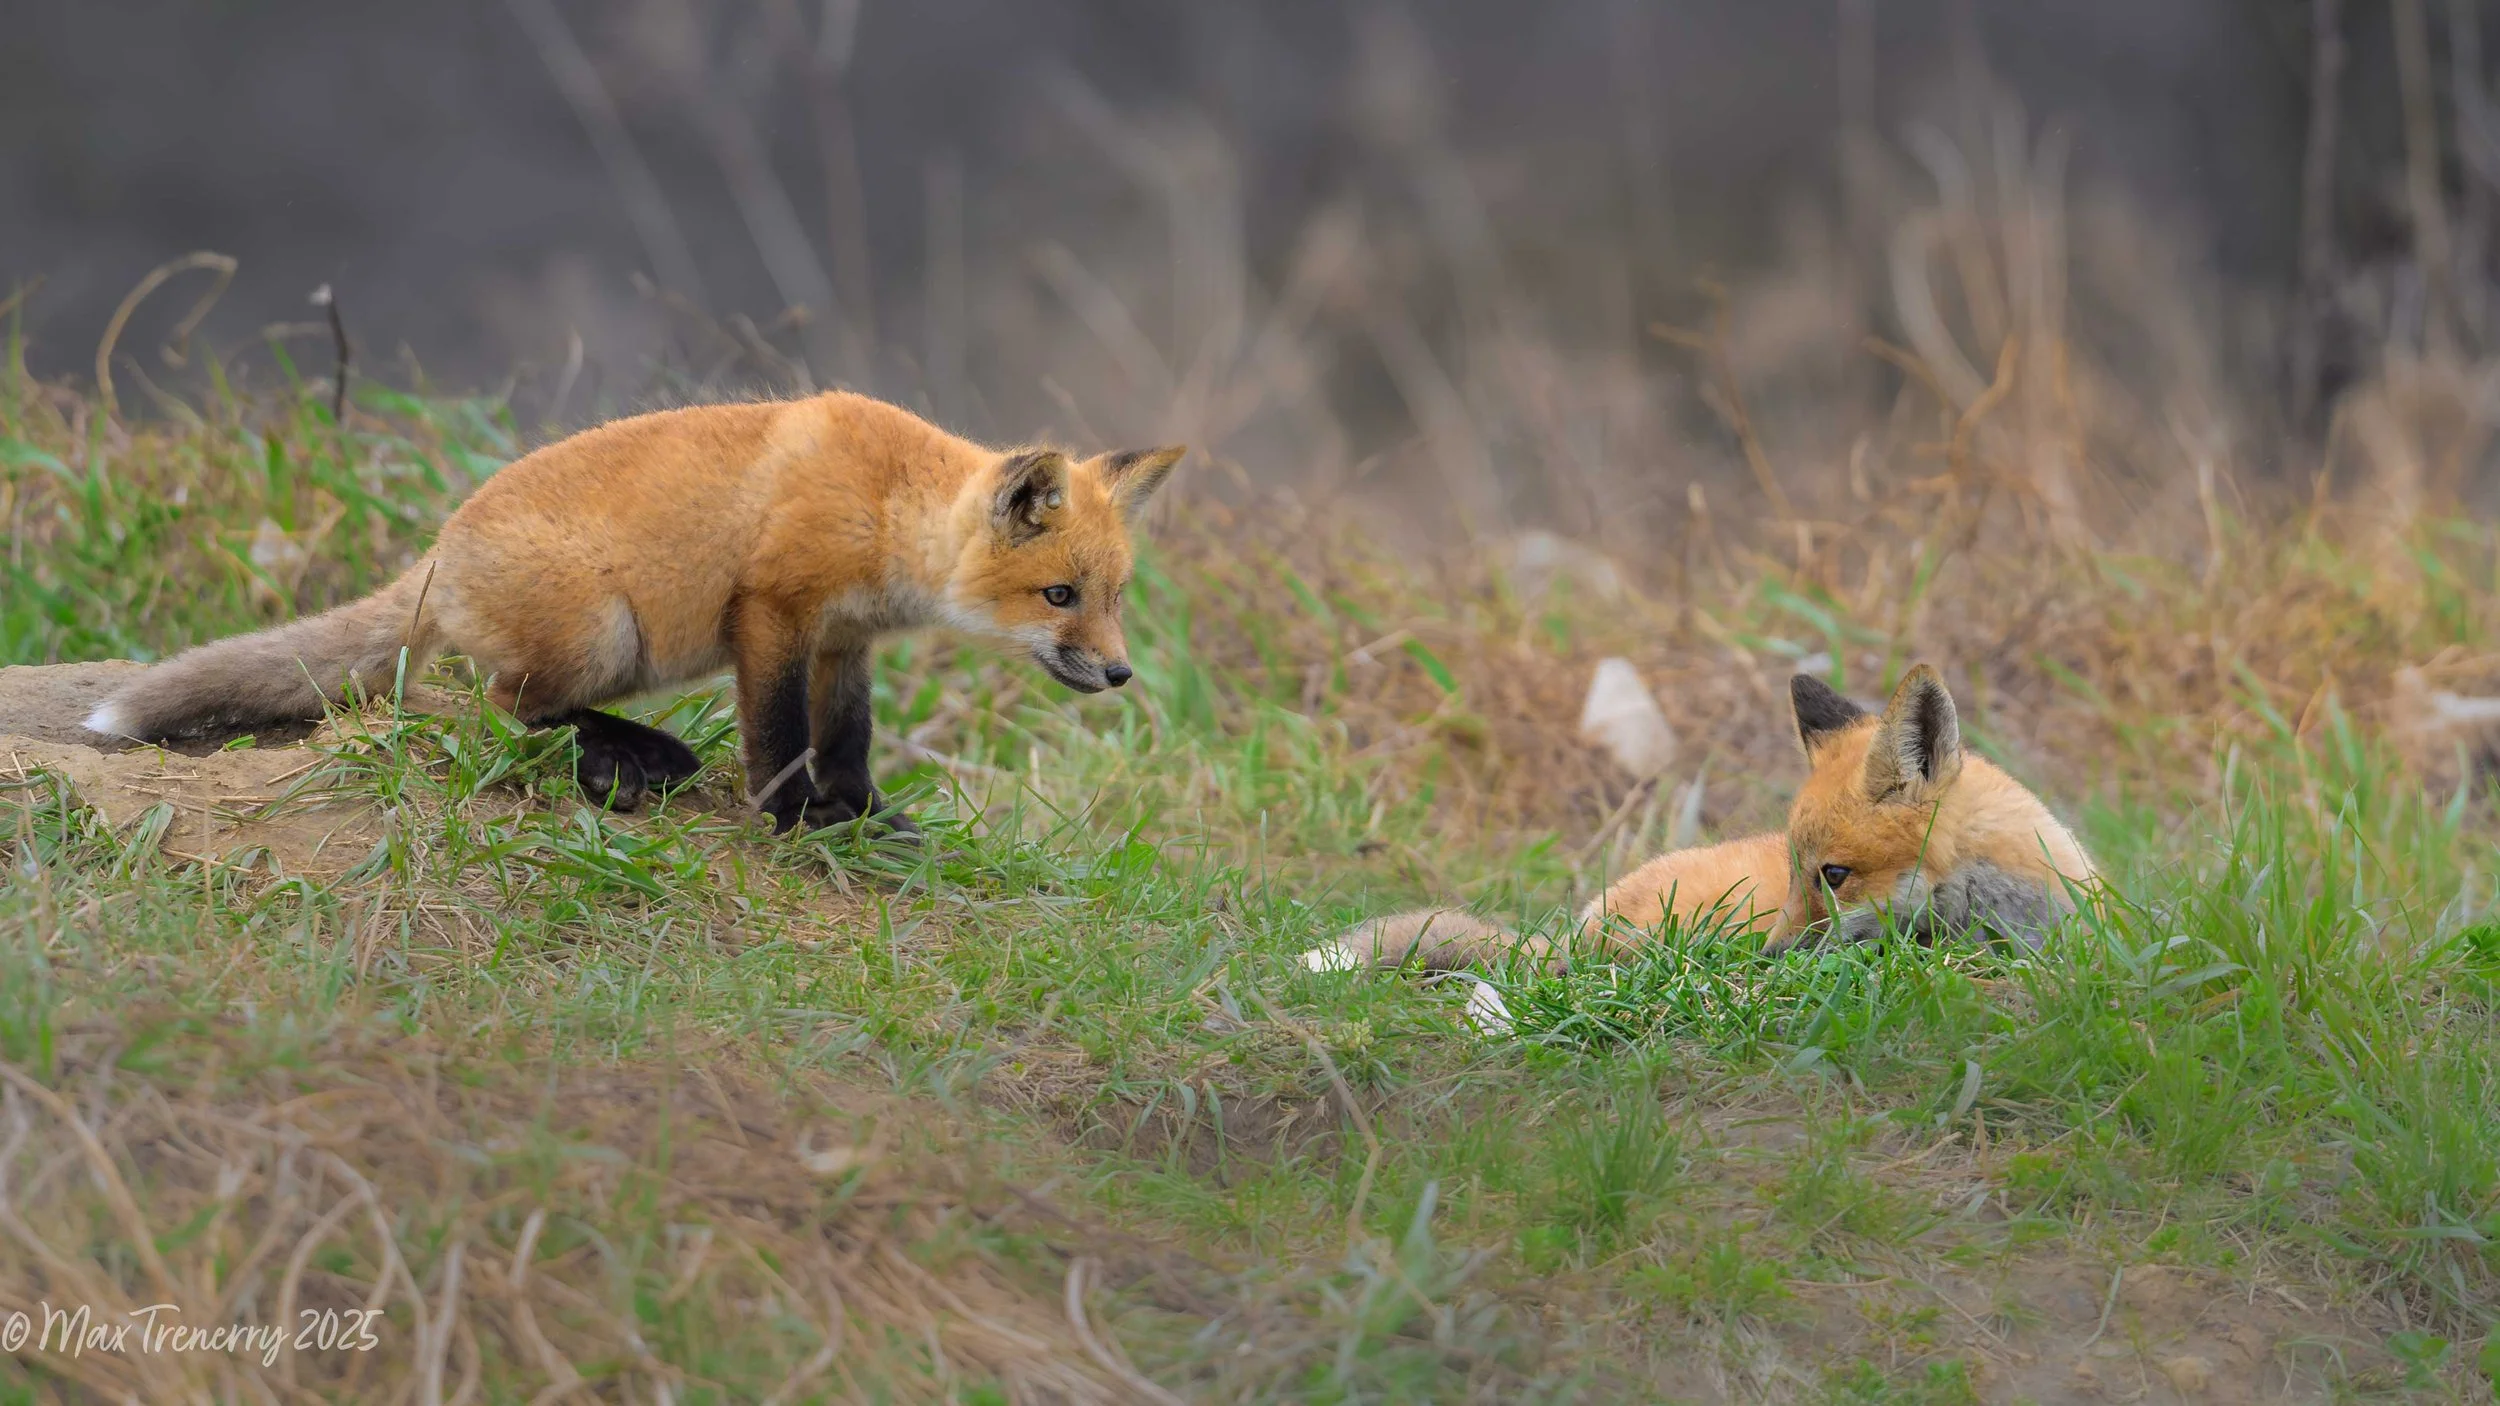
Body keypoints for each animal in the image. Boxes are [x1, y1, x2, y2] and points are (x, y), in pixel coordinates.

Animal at [83, 391, 1183, 834]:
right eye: (1058, 595)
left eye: (1114, 598)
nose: (1122, 673)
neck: (883, 506)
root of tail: (437, 550)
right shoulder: (773, 612)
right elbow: (776, 734)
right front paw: (791, 820)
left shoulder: (845, 640)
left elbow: (849, 738)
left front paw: (864, 816)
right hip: (603, 630)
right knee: (499, 712)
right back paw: (629, 756)